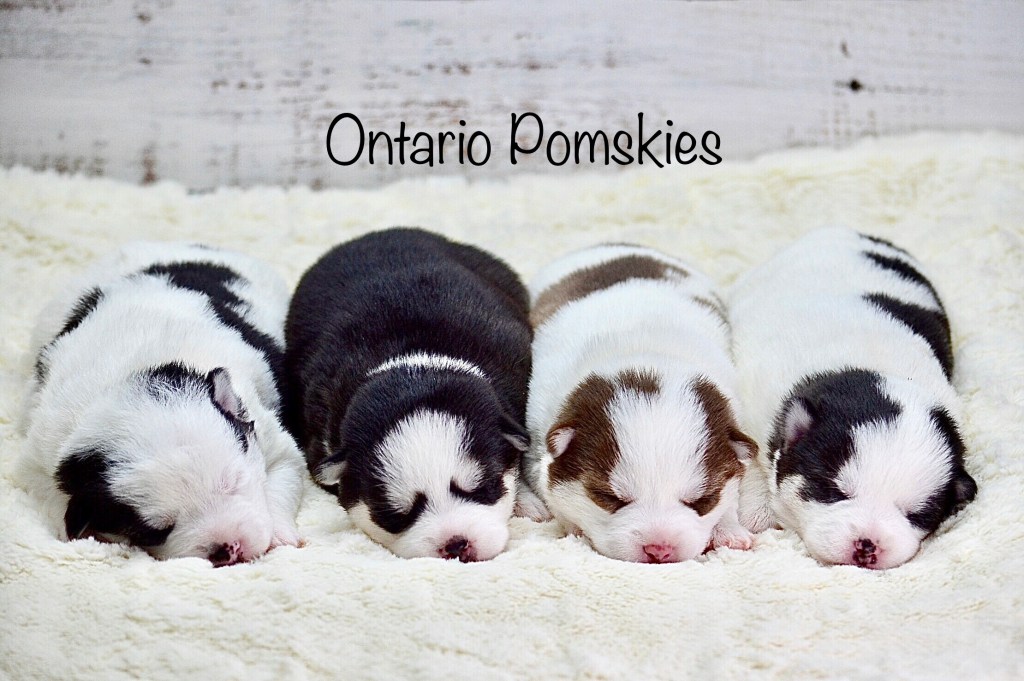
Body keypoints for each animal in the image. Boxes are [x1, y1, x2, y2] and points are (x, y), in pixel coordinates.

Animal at [19, 242, 305, 565]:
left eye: (234, 482)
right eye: (157, 531)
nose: (228, 547)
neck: (133, 375)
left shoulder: (268, 431)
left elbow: (285, 472)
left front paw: (280, 535)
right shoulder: (40, 456)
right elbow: (51, 495)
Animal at [520, 243, 757, 563]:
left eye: (702, 500)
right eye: (609, 498)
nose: (659, 548)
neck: (646, 354)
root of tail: (615, 245)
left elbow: (730, 497)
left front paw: (729, 530)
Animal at [731, 227, 977, 569]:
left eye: (916, 514)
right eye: (834, 491)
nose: (867, 544)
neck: (871, 368)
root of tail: (845, 230)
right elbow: (751, 456)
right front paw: (757, 508)